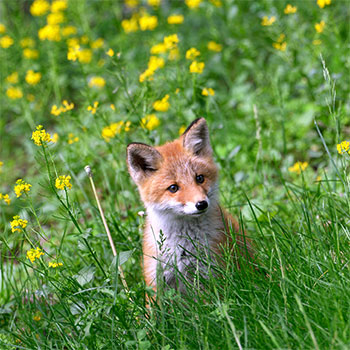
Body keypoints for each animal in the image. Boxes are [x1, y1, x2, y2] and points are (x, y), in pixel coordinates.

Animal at [127, 118, 253, 296]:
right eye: (173, 188)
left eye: (199, 178)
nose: (201, 204)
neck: (183, 248)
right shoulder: (155, 280)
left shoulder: (212, 276)